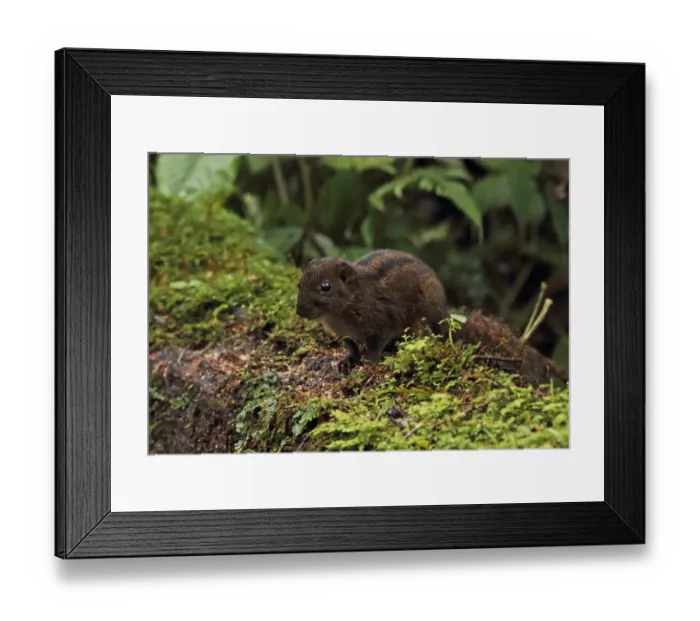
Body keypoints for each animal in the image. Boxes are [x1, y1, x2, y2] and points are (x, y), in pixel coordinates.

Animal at [295, 249, 568, 385]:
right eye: (299, 283)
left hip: (421, 322)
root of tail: (444, 314)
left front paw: (367, 366)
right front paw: (346, 361)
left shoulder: (381, 321)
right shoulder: (346, 334)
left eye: (326, 287)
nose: (299, 311)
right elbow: (351, 346)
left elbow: (374, 347)